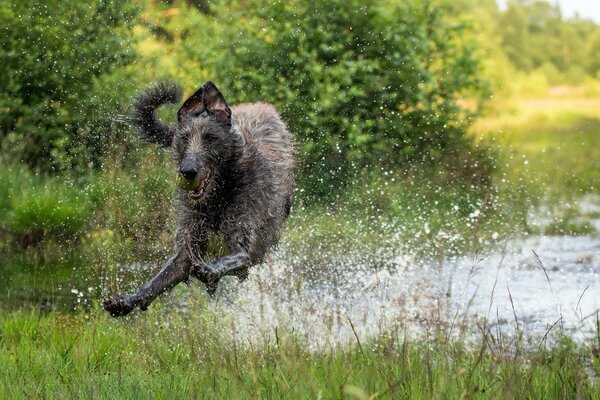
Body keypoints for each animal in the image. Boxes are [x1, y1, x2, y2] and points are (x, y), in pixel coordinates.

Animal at [103, 81, 296, 318]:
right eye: (185, 138)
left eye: (210, 138)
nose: (187, 171)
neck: (218, 195)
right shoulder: (190, 236)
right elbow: (161, 276)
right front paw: (127, 301)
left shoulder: (246, 238)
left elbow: (237, 256)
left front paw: (210, 269)